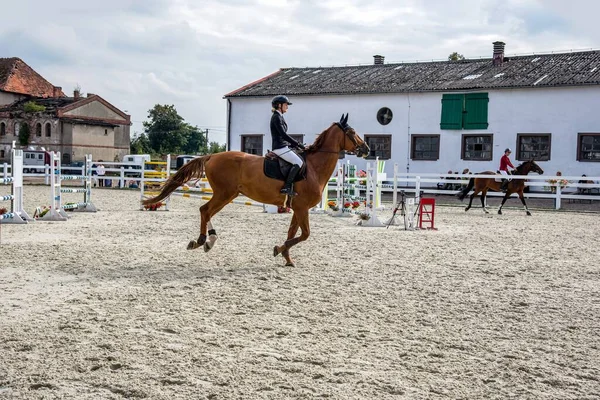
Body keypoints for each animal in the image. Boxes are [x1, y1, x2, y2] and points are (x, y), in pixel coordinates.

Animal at [144, 114, 370, 268]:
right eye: (352, 133)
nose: (366, 149)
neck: (313, 167)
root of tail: (212, 156)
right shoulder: (302, 207)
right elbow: (304, 234)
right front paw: (281, 250)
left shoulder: (298, 208)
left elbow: (292, 233)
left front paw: (285, 255)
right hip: (224, 193)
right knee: (205, 210)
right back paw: (203, 241)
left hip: (228, 194)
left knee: (205, 211)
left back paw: (208, 240)